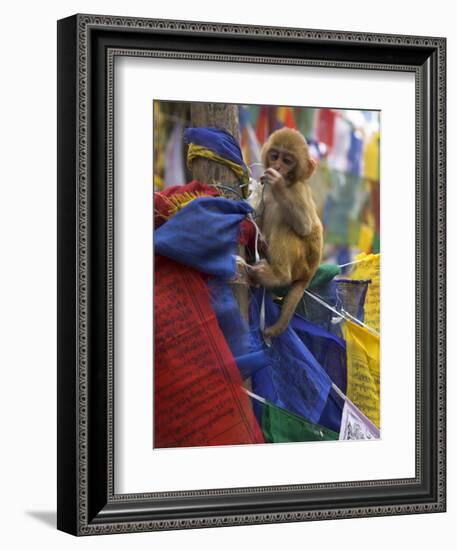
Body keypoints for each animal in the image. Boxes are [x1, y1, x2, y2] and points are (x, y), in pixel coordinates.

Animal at [248, 127, 322, 338]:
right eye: (275, 156)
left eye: (287, 160)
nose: (278, 167)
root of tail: (310, 273)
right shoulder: (264, 191)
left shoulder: (299, 190)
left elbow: (305, 226)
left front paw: (278, 184)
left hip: (302, 263)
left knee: (285, 224)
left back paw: (278, 276)